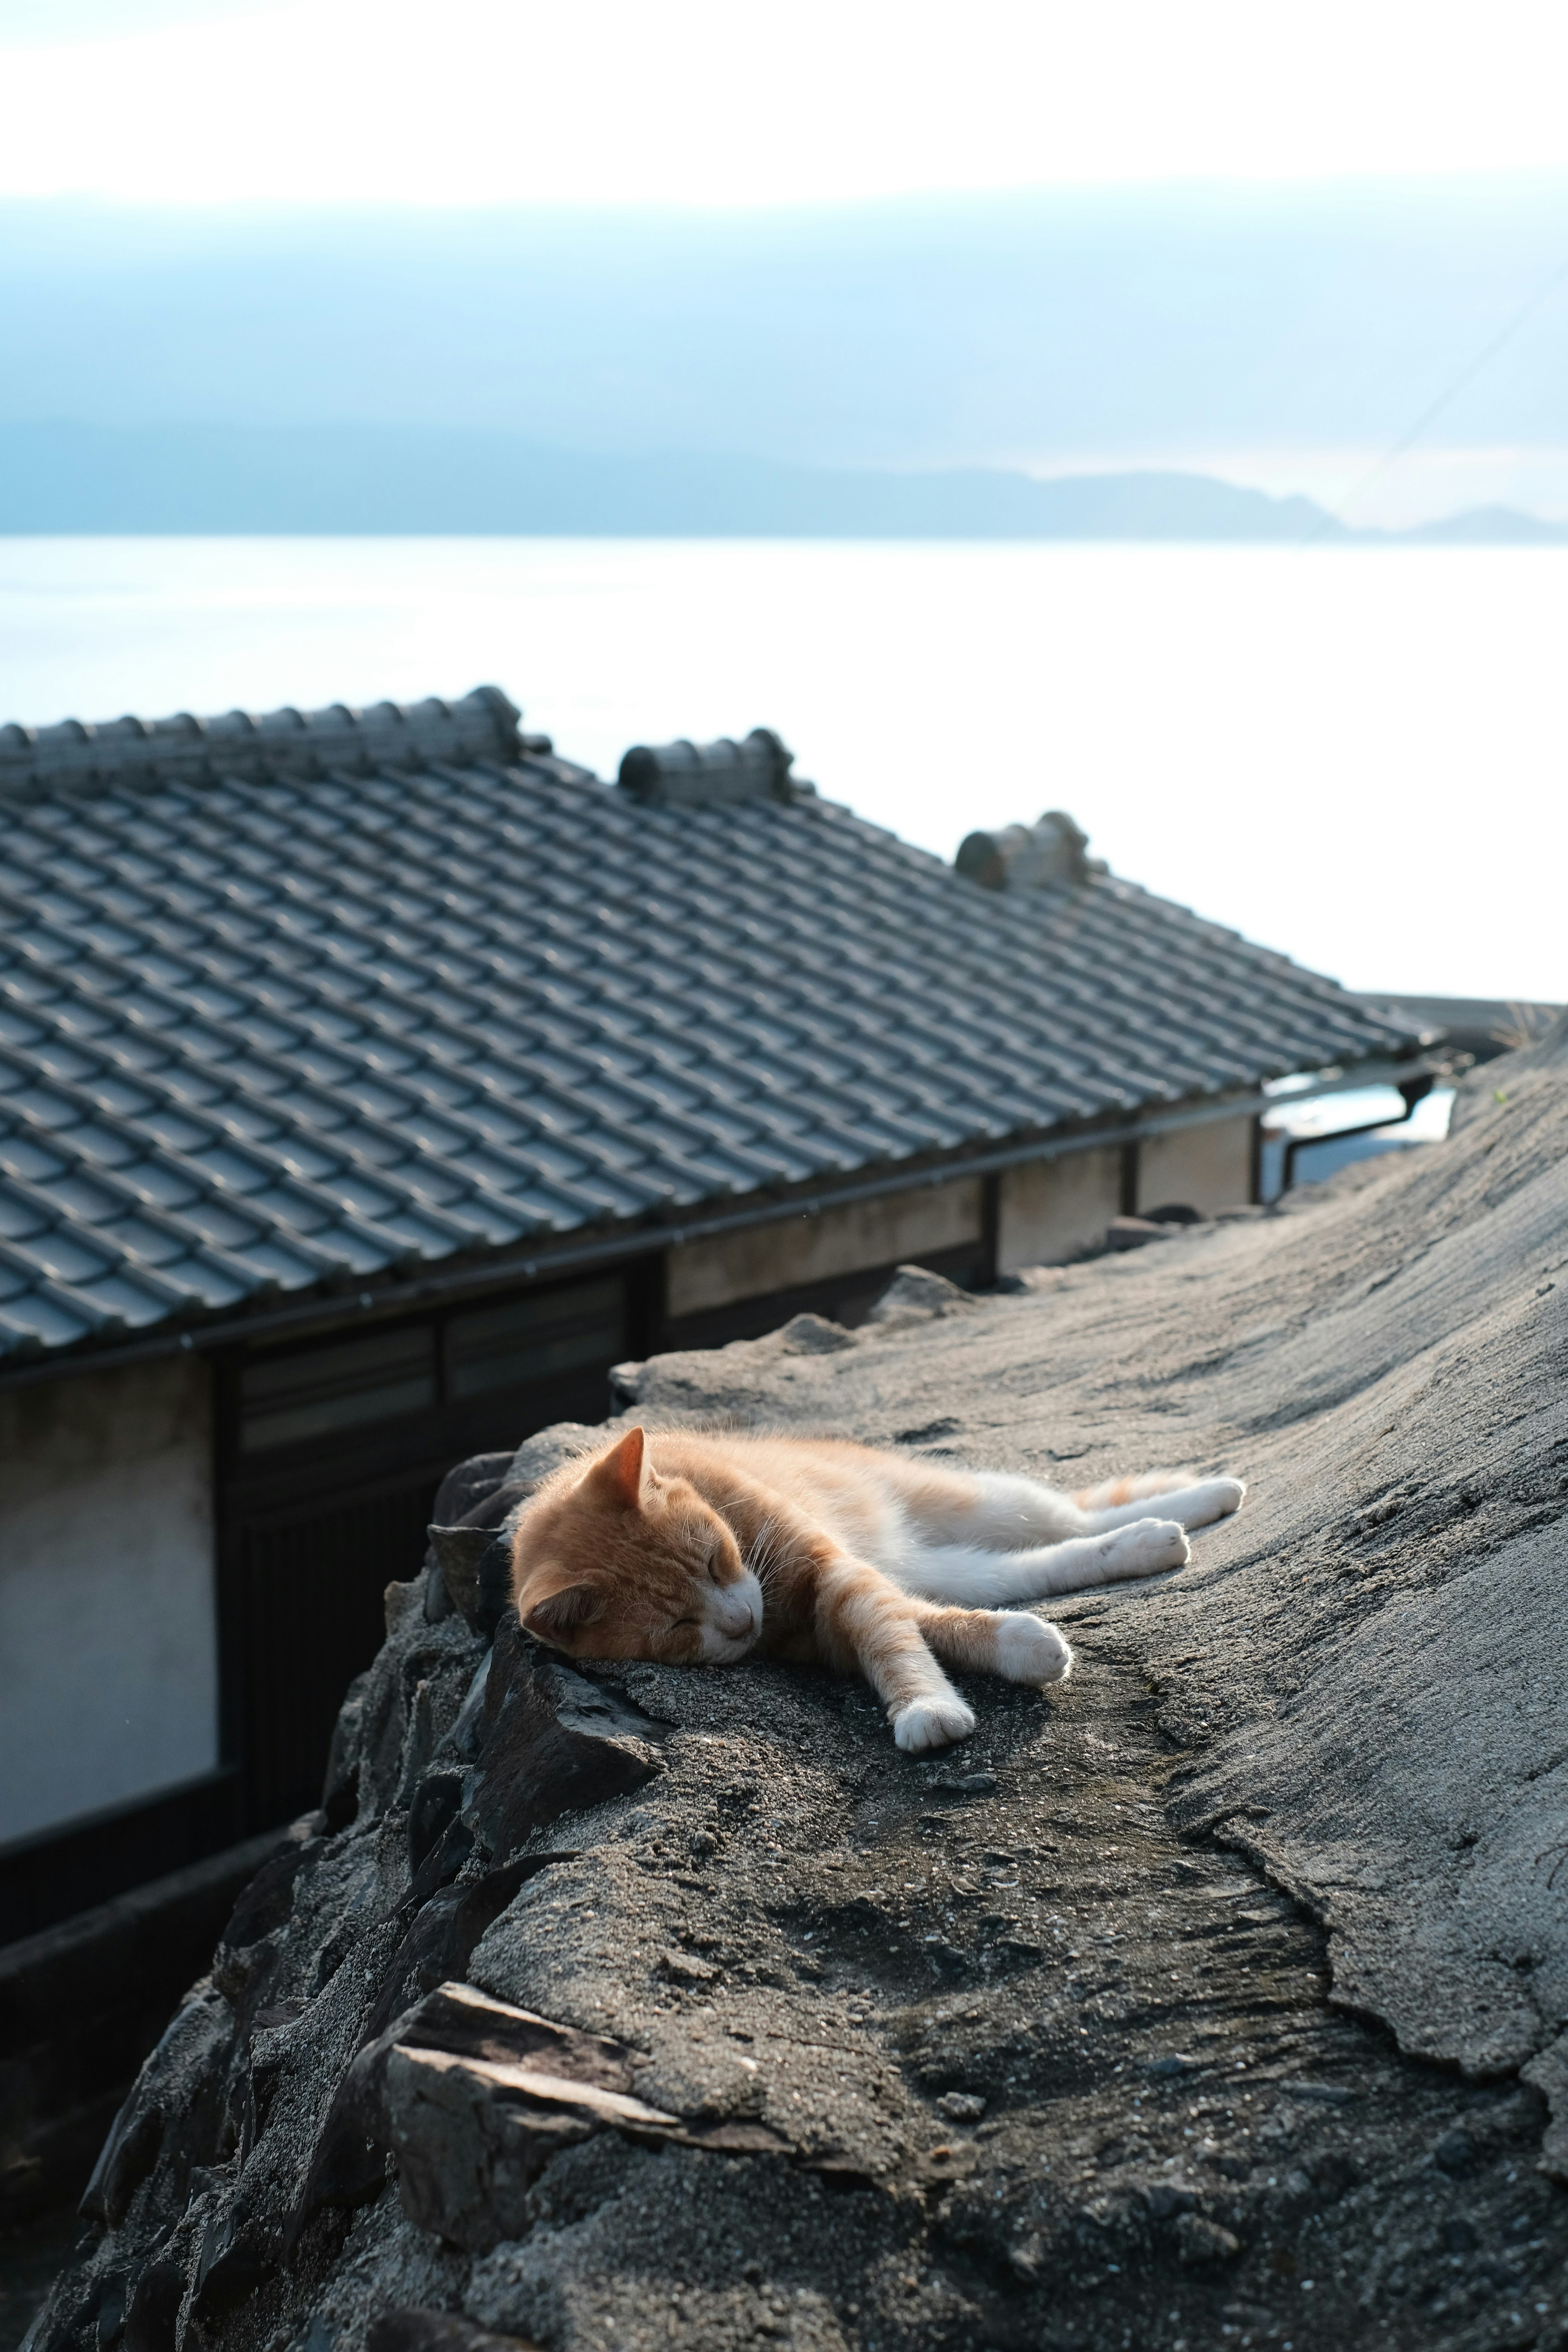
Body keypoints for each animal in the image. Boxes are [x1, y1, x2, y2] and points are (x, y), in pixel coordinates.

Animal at [514, 1421, 1250, 1759]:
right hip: (953, 1563)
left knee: (1074, 1515)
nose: (742, 1621)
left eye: (715, 1560)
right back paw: (1148, 1543)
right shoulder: (828, 1631)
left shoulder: (837, 1573)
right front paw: (1019, 1646)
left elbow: (889, 1636)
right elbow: (922, 1627)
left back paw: (1203, 1500)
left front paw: (927, 1706)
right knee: (1042, 1562)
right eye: (677, 1628)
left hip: (979, 1503)